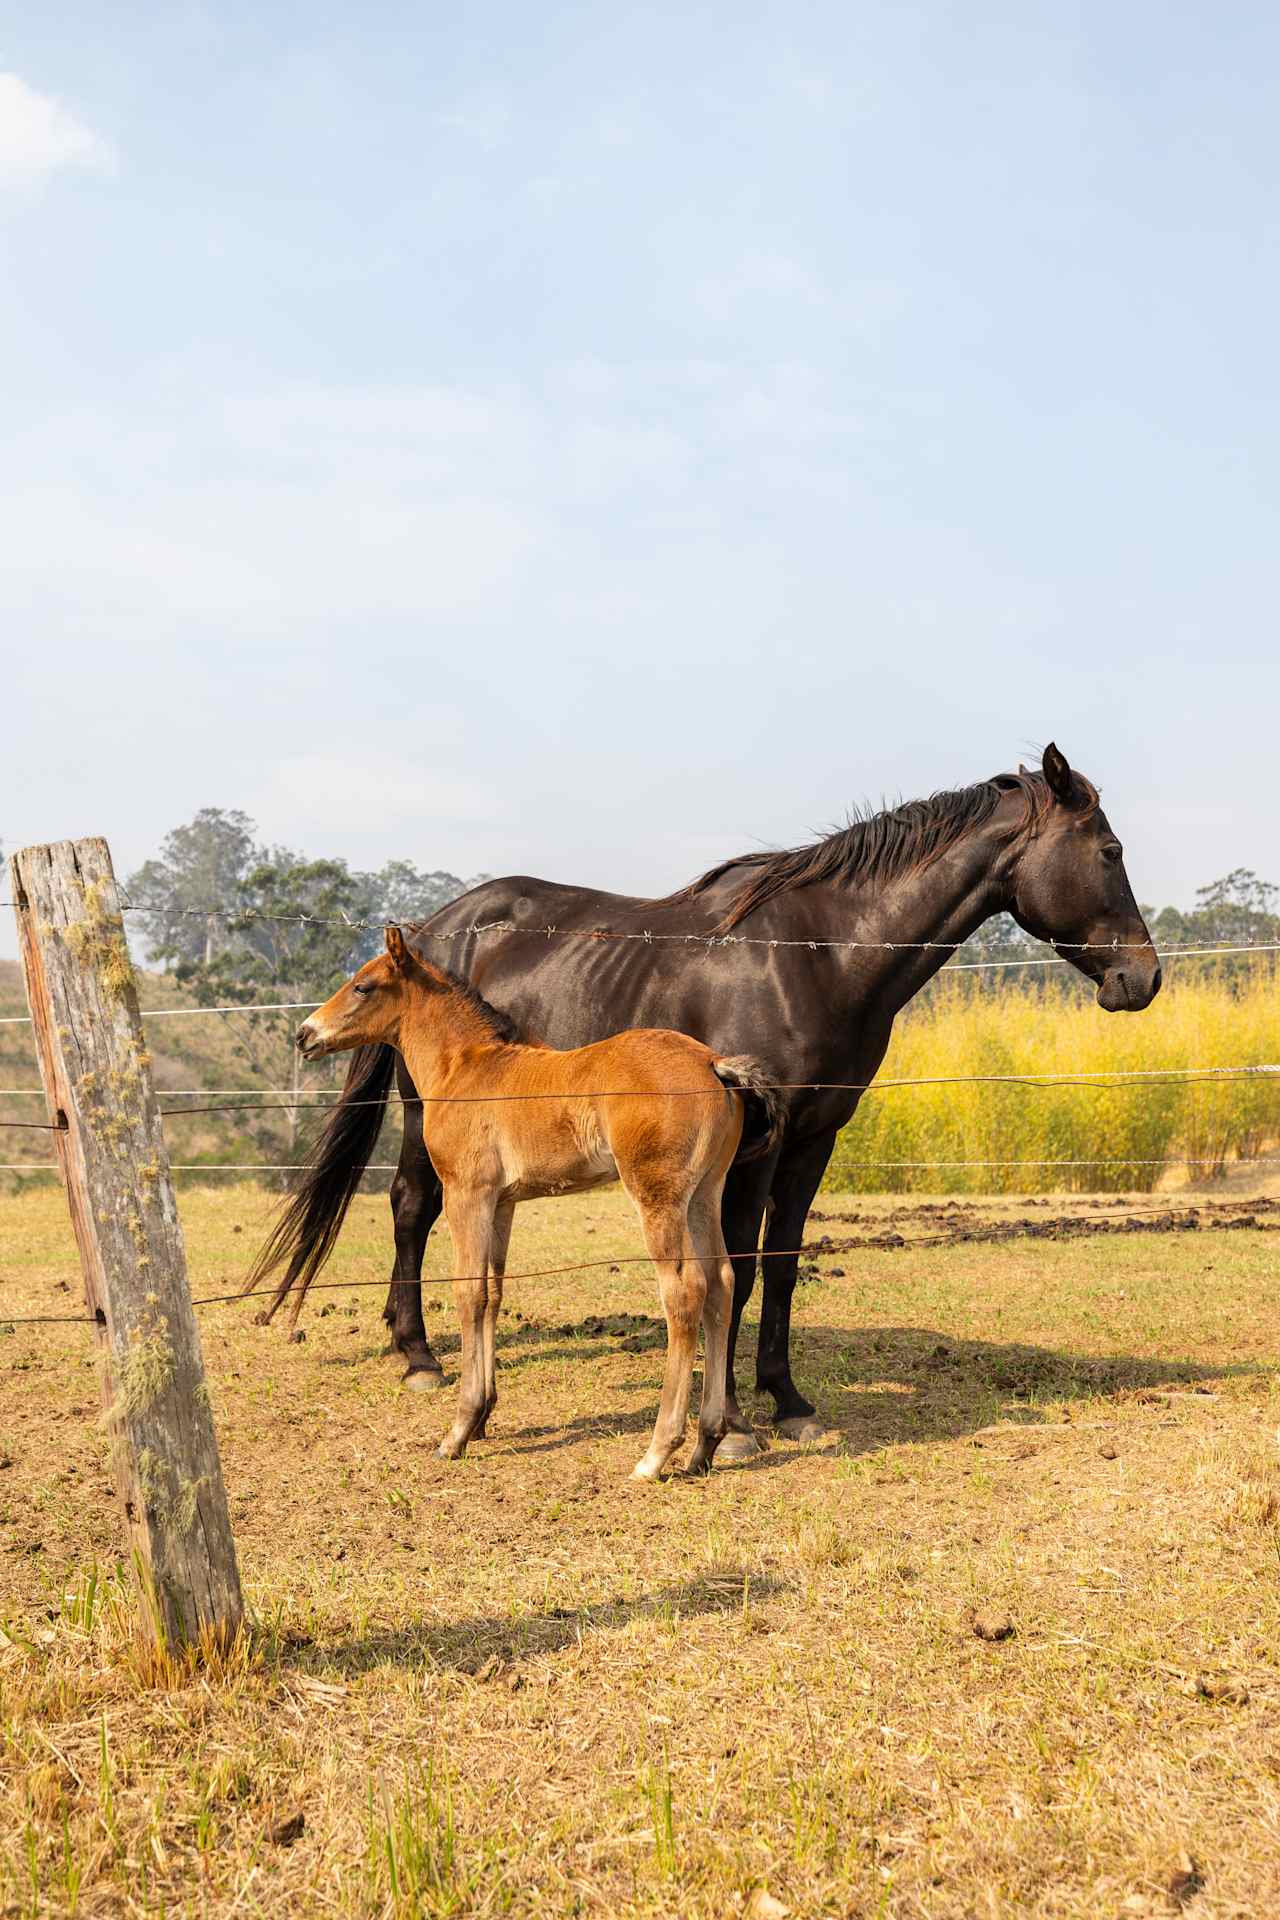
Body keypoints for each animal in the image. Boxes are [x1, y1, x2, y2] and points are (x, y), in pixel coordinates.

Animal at [257, 929, 782, 1482]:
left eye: (363, 986)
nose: (304, 1035)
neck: (465, 1069)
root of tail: (712, 1063)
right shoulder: (501, 1203)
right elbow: (492, 1294)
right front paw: (484, 1416)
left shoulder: (466, 1194)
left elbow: (467, 1294)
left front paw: (457, 1430)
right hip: (705, 1194)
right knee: (722, 1284)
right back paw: (705, 1445)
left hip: (657, 1197)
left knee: (684, 1294)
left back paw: (658, 1452)